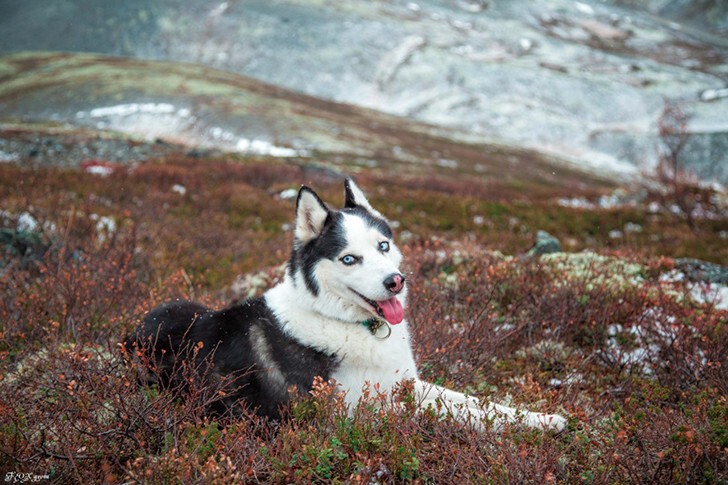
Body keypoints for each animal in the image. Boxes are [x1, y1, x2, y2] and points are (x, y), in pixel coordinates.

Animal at [126, 180, 568, 430]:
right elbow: (457, 414)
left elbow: (475, 403)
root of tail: (134, 332)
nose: (395, 281)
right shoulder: (356, 413)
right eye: (349, 259)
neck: (345, 323)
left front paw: (543, 419)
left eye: (383, 246)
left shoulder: (406, 384)